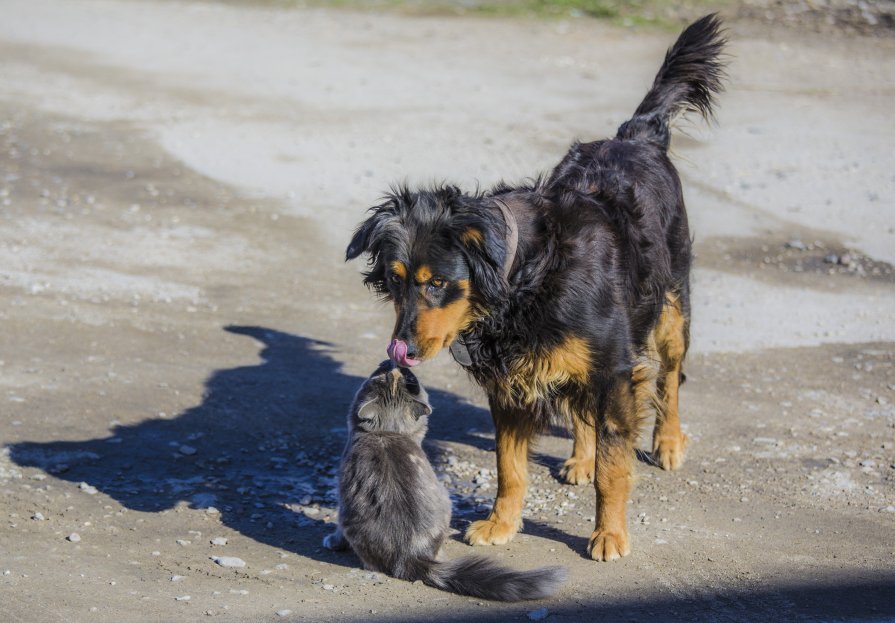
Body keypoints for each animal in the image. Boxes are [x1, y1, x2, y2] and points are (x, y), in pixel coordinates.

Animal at [324, 364, 568, 604]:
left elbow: (337, 529)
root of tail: (409, 557)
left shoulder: (342, 496)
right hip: (444, 501)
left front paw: (333, 541)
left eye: (409, 378)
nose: (394, 365)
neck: (387, 432)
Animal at [346, 14, 724, 564]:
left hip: (672, 305)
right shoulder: (511, 382)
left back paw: (669, 442)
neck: (524, 278)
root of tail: (637, 137)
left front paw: (610, 533)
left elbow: (614, 465)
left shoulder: (614, 368)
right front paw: (502, 523)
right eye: (395, 281)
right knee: (582, 406)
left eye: (438, 283)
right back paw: (580, 458)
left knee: (670, 378)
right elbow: (509, 465)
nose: (402, 350)